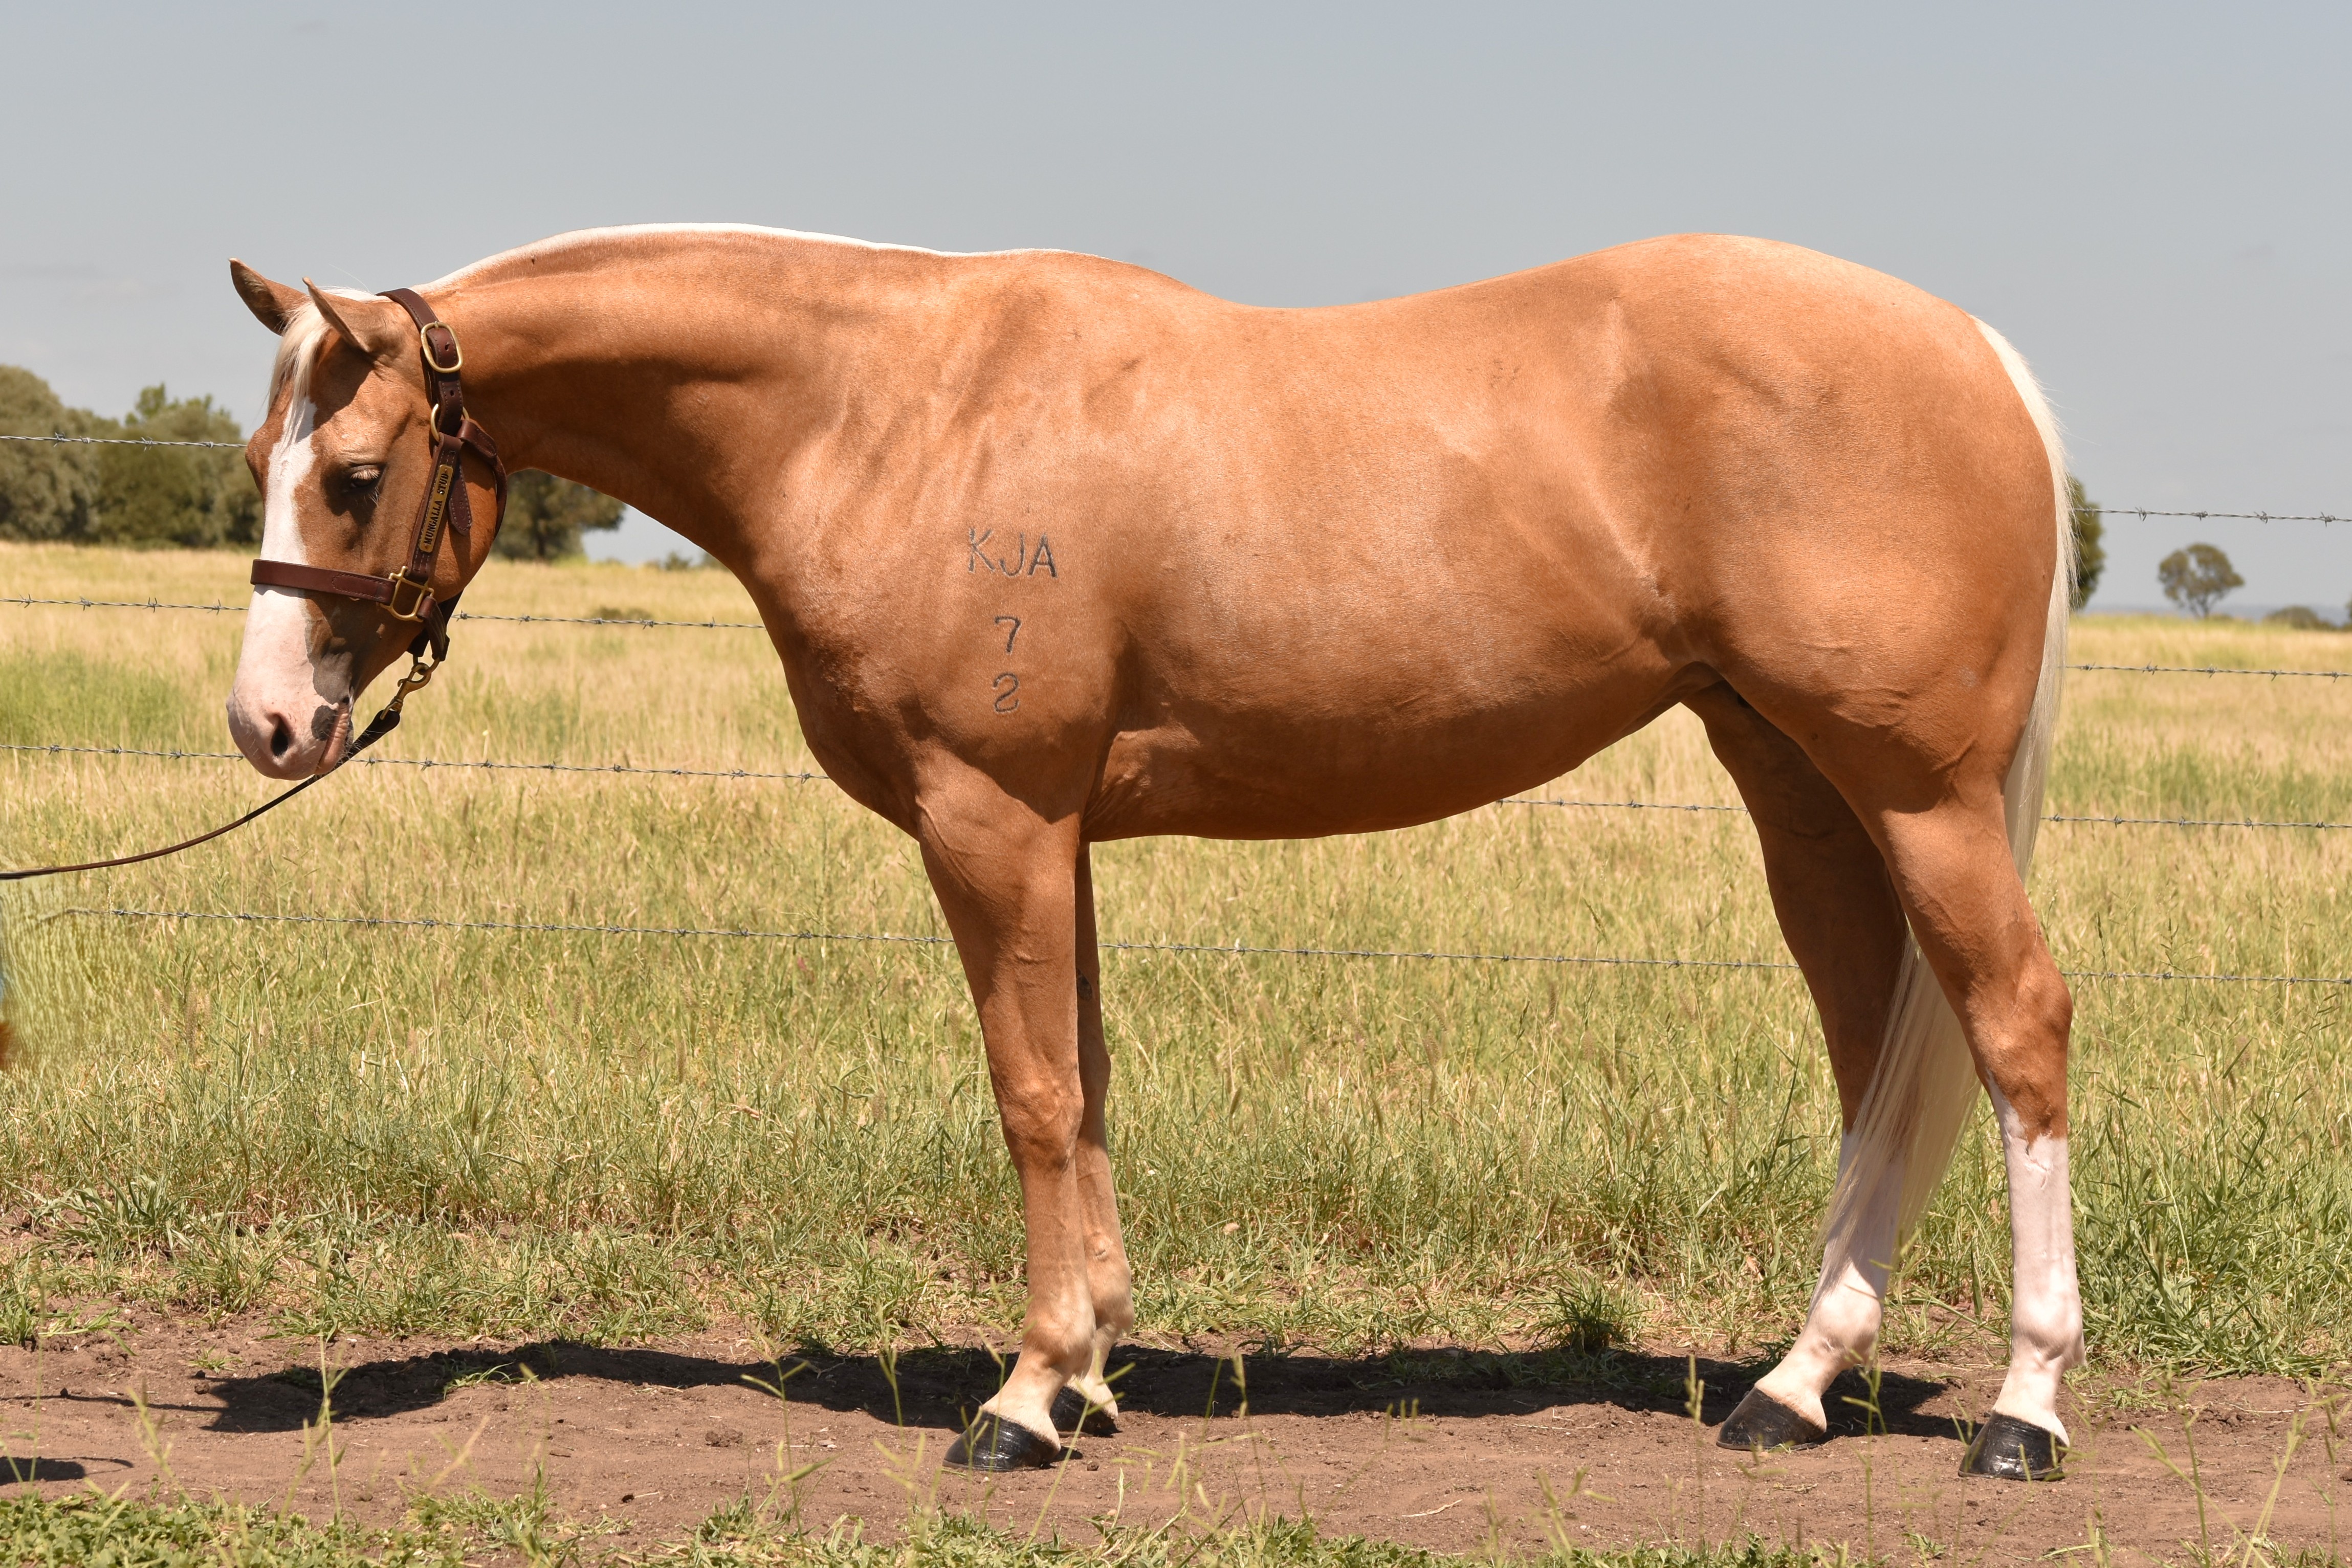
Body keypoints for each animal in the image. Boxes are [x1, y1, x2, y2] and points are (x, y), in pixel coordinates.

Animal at [222, 226, 2080, 1480]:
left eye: (359, 474)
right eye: (259, 460)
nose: (266, 725)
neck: (889, 409)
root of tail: (1974, 348)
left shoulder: (990, 816)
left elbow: (1034, 1094)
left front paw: (1023, 1398)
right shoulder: (1061, 834)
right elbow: (1092, 1078)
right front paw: (1094, 1370)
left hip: (1918, 794)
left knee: (2012, 1032)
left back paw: (2019, 1408)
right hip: (1799, 788)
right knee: (1875, 1055)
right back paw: (1793, 1386)